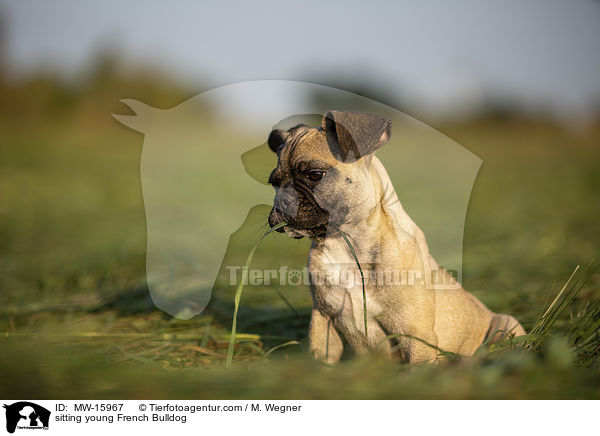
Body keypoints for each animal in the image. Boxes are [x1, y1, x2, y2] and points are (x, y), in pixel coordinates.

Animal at [268, 110, 524, 362]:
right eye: (274, 183)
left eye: (315, 175)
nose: (283, 199)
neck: (346, 242)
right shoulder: (323, 321)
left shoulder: (416, 336)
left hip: (506, 325)